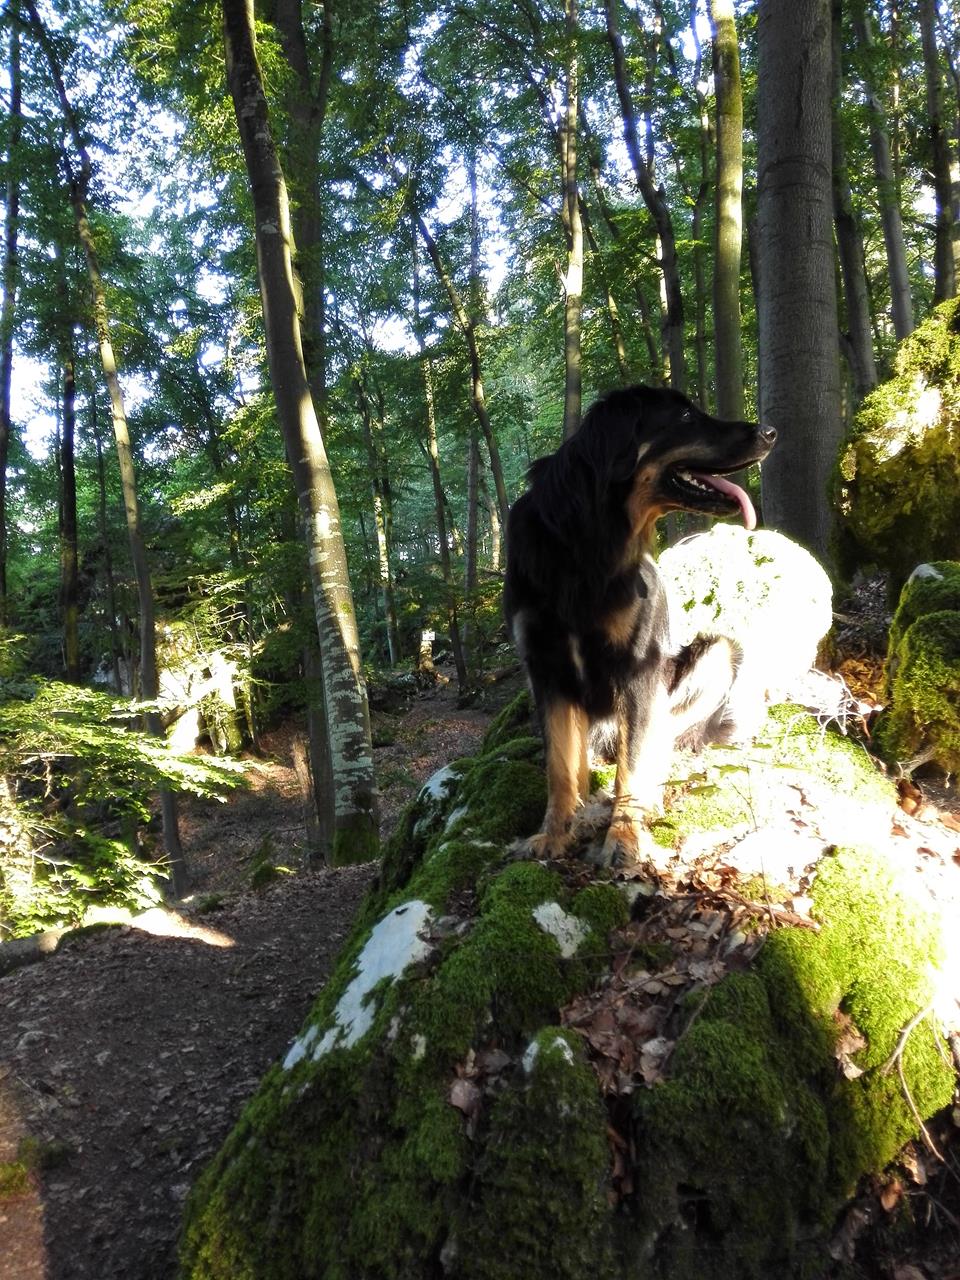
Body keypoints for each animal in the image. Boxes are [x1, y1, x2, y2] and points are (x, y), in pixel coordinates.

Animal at [503, 385, 777, 868]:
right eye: (685, 416)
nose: (770, 432)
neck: (588, 541)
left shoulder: (640, 670)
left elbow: (629, 772)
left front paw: (624, 839)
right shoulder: (547, 671)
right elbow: (559, 766)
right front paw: (554, 834)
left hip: (717, 653)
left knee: (660, 744)